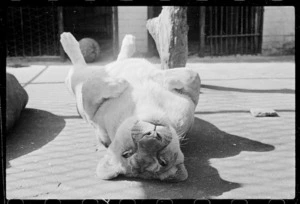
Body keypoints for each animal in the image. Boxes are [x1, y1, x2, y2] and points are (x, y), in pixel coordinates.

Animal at [59, 32, 200, 182]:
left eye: (162, 162)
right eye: (126, 154)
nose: (152, 137)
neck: (149, 108)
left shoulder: (189, 106)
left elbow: (192, 75)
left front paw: (161, 77)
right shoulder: (91, 113)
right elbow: (89, 87)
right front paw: (121, 83)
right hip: (76, 78)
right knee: (80, 65)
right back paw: (68, 39)